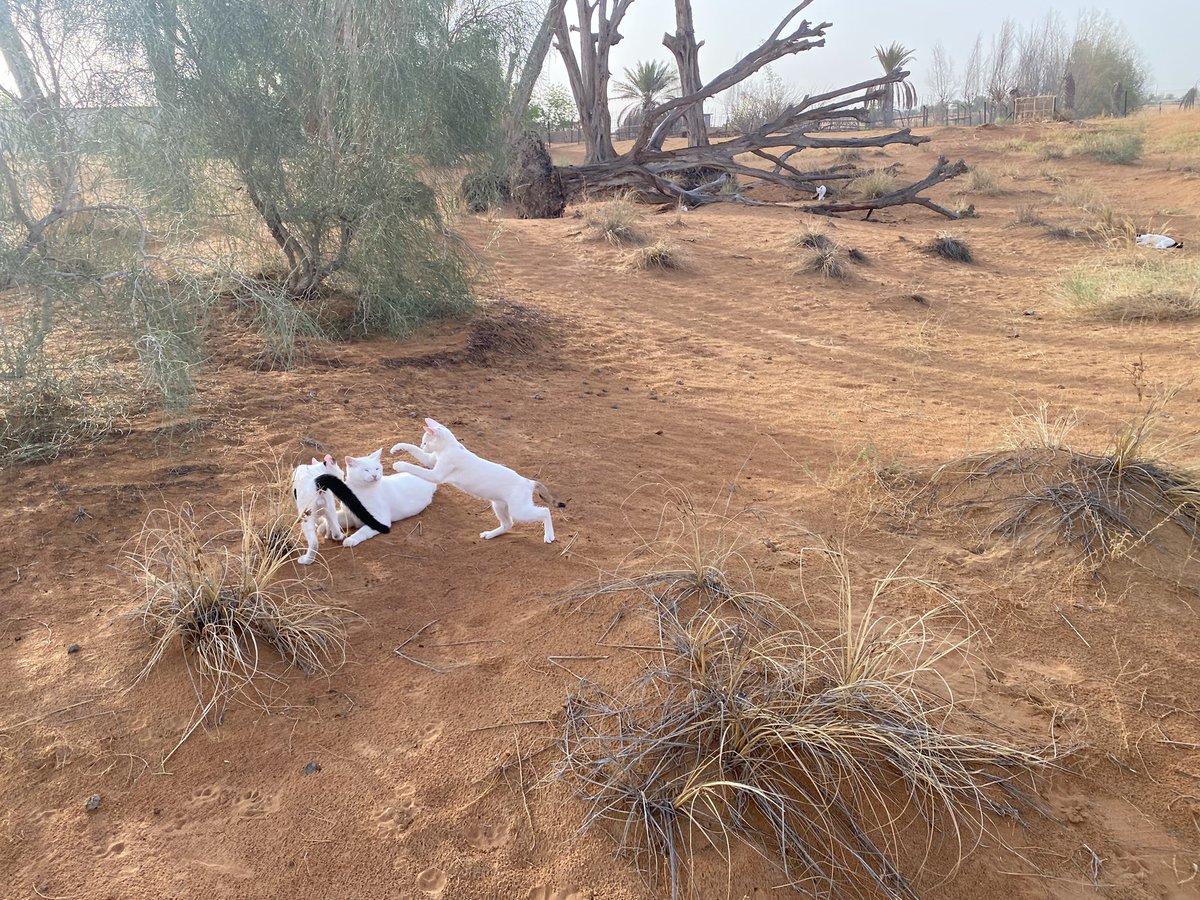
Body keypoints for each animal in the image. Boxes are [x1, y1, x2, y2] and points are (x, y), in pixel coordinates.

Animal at [391, 418, 563, 544]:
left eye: (425, 442)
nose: (423, 445)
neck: (449, 447)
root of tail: (528, 482)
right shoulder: (431, 462)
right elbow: (413, 449)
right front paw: (397, 447)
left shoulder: (436, 474)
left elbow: (415, 468)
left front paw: (399, 465)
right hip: (499, 506)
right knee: (508, 524)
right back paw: (490, 534)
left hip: (520, 510)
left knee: (545, 511)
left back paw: (549, 536)